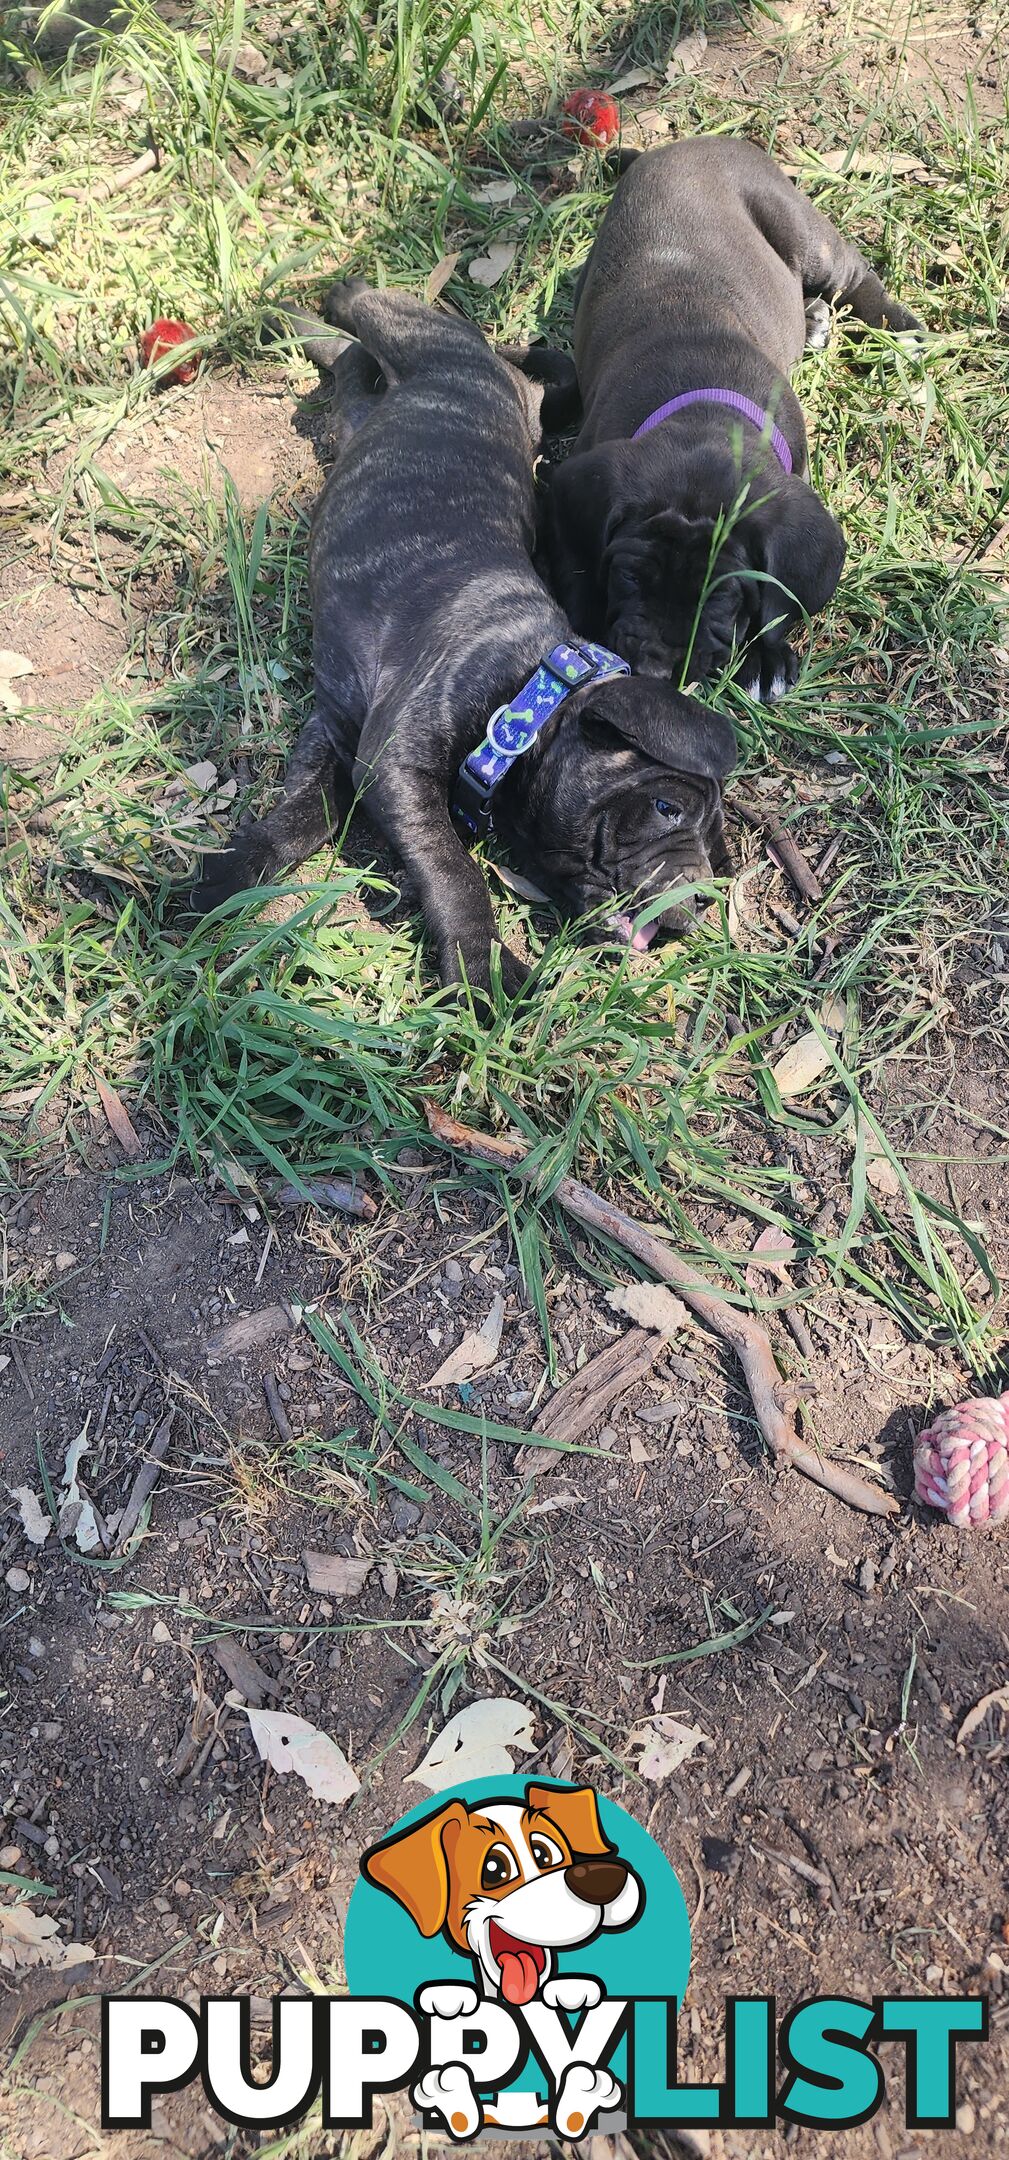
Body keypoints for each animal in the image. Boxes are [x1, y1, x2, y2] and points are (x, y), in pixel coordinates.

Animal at [544, 132, 924, 699]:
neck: (700, 407)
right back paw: (815, 317)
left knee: (853, 276)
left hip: (801, 230)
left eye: (723, 598)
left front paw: (765, 657)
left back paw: (898, 328)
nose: (659, 671)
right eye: (629, 578)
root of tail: (679, 146)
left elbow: (778, 597)